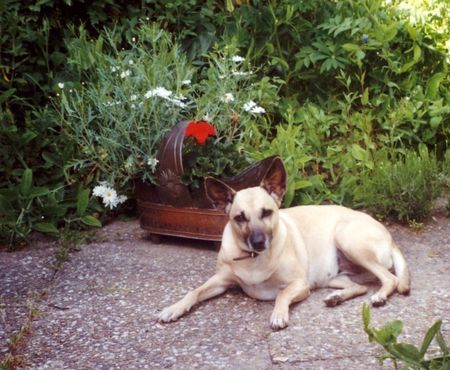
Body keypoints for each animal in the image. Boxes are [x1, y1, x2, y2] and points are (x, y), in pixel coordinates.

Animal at [156, 156, 410, 330]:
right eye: (240, 218)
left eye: (267, 212)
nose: (259, 242)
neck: (253, 259)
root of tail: (388, 235)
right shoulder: (219, 281)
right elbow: (195, 291)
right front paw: (174, 308)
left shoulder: (299, 284)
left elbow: (282, 294)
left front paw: (278, 314)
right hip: (335, 277)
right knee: (360, 286)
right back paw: (337, 298)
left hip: (348, 240)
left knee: (391, 279)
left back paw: (379, 296)